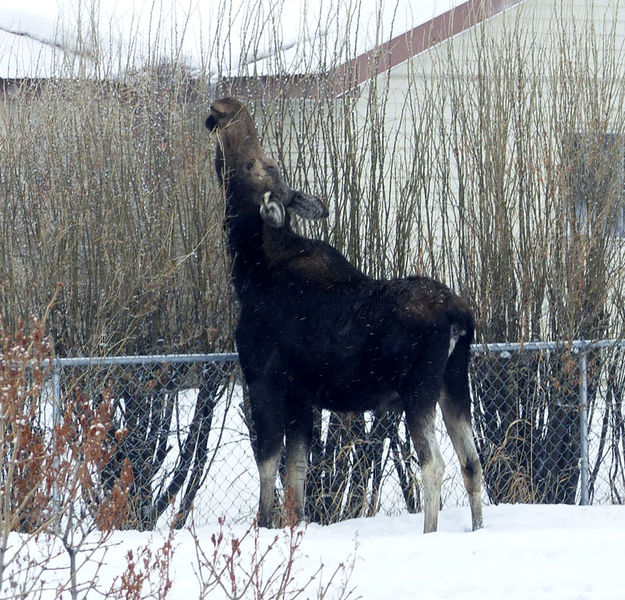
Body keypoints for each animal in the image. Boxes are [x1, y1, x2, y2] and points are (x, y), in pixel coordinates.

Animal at [205, 98, 482, 536]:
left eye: (255, 164)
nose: (225, 108)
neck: (247, 268)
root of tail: (460, 316)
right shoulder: (302, 397)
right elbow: (297, 474)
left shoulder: (263, 379)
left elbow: (268, 467)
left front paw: (264, 526)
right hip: (453, 385)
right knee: (472, 463)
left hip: (418, 389)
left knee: (434, 465)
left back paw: (429, 534)